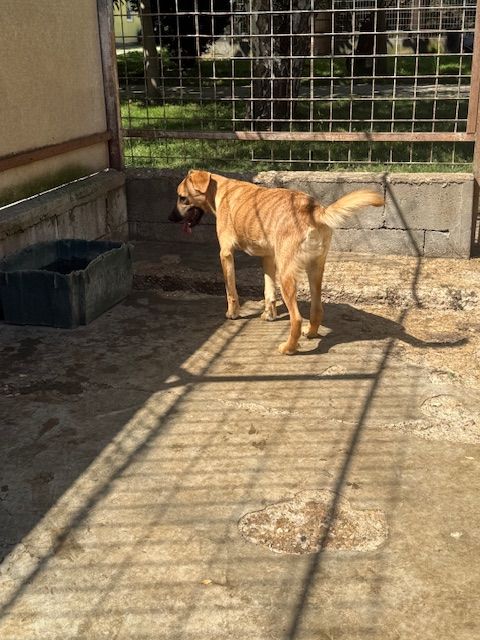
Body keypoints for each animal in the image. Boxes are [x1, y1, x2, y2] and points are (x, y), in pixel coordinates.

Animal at [169, 170, 384, 354]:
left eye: (182, 197)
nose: (170, 218)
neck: (220, 189)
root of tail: (313, 209)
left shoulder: (226, 254)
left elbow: (231, 291)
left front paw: (233, 313)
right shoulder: (268, 258)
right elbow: (269, 292)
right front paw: (269, 314)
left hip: (287, 275)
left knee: (296, 318)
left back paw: (289, 348)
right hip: (315, 270)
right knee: (317, 309)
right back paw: (311, 332)